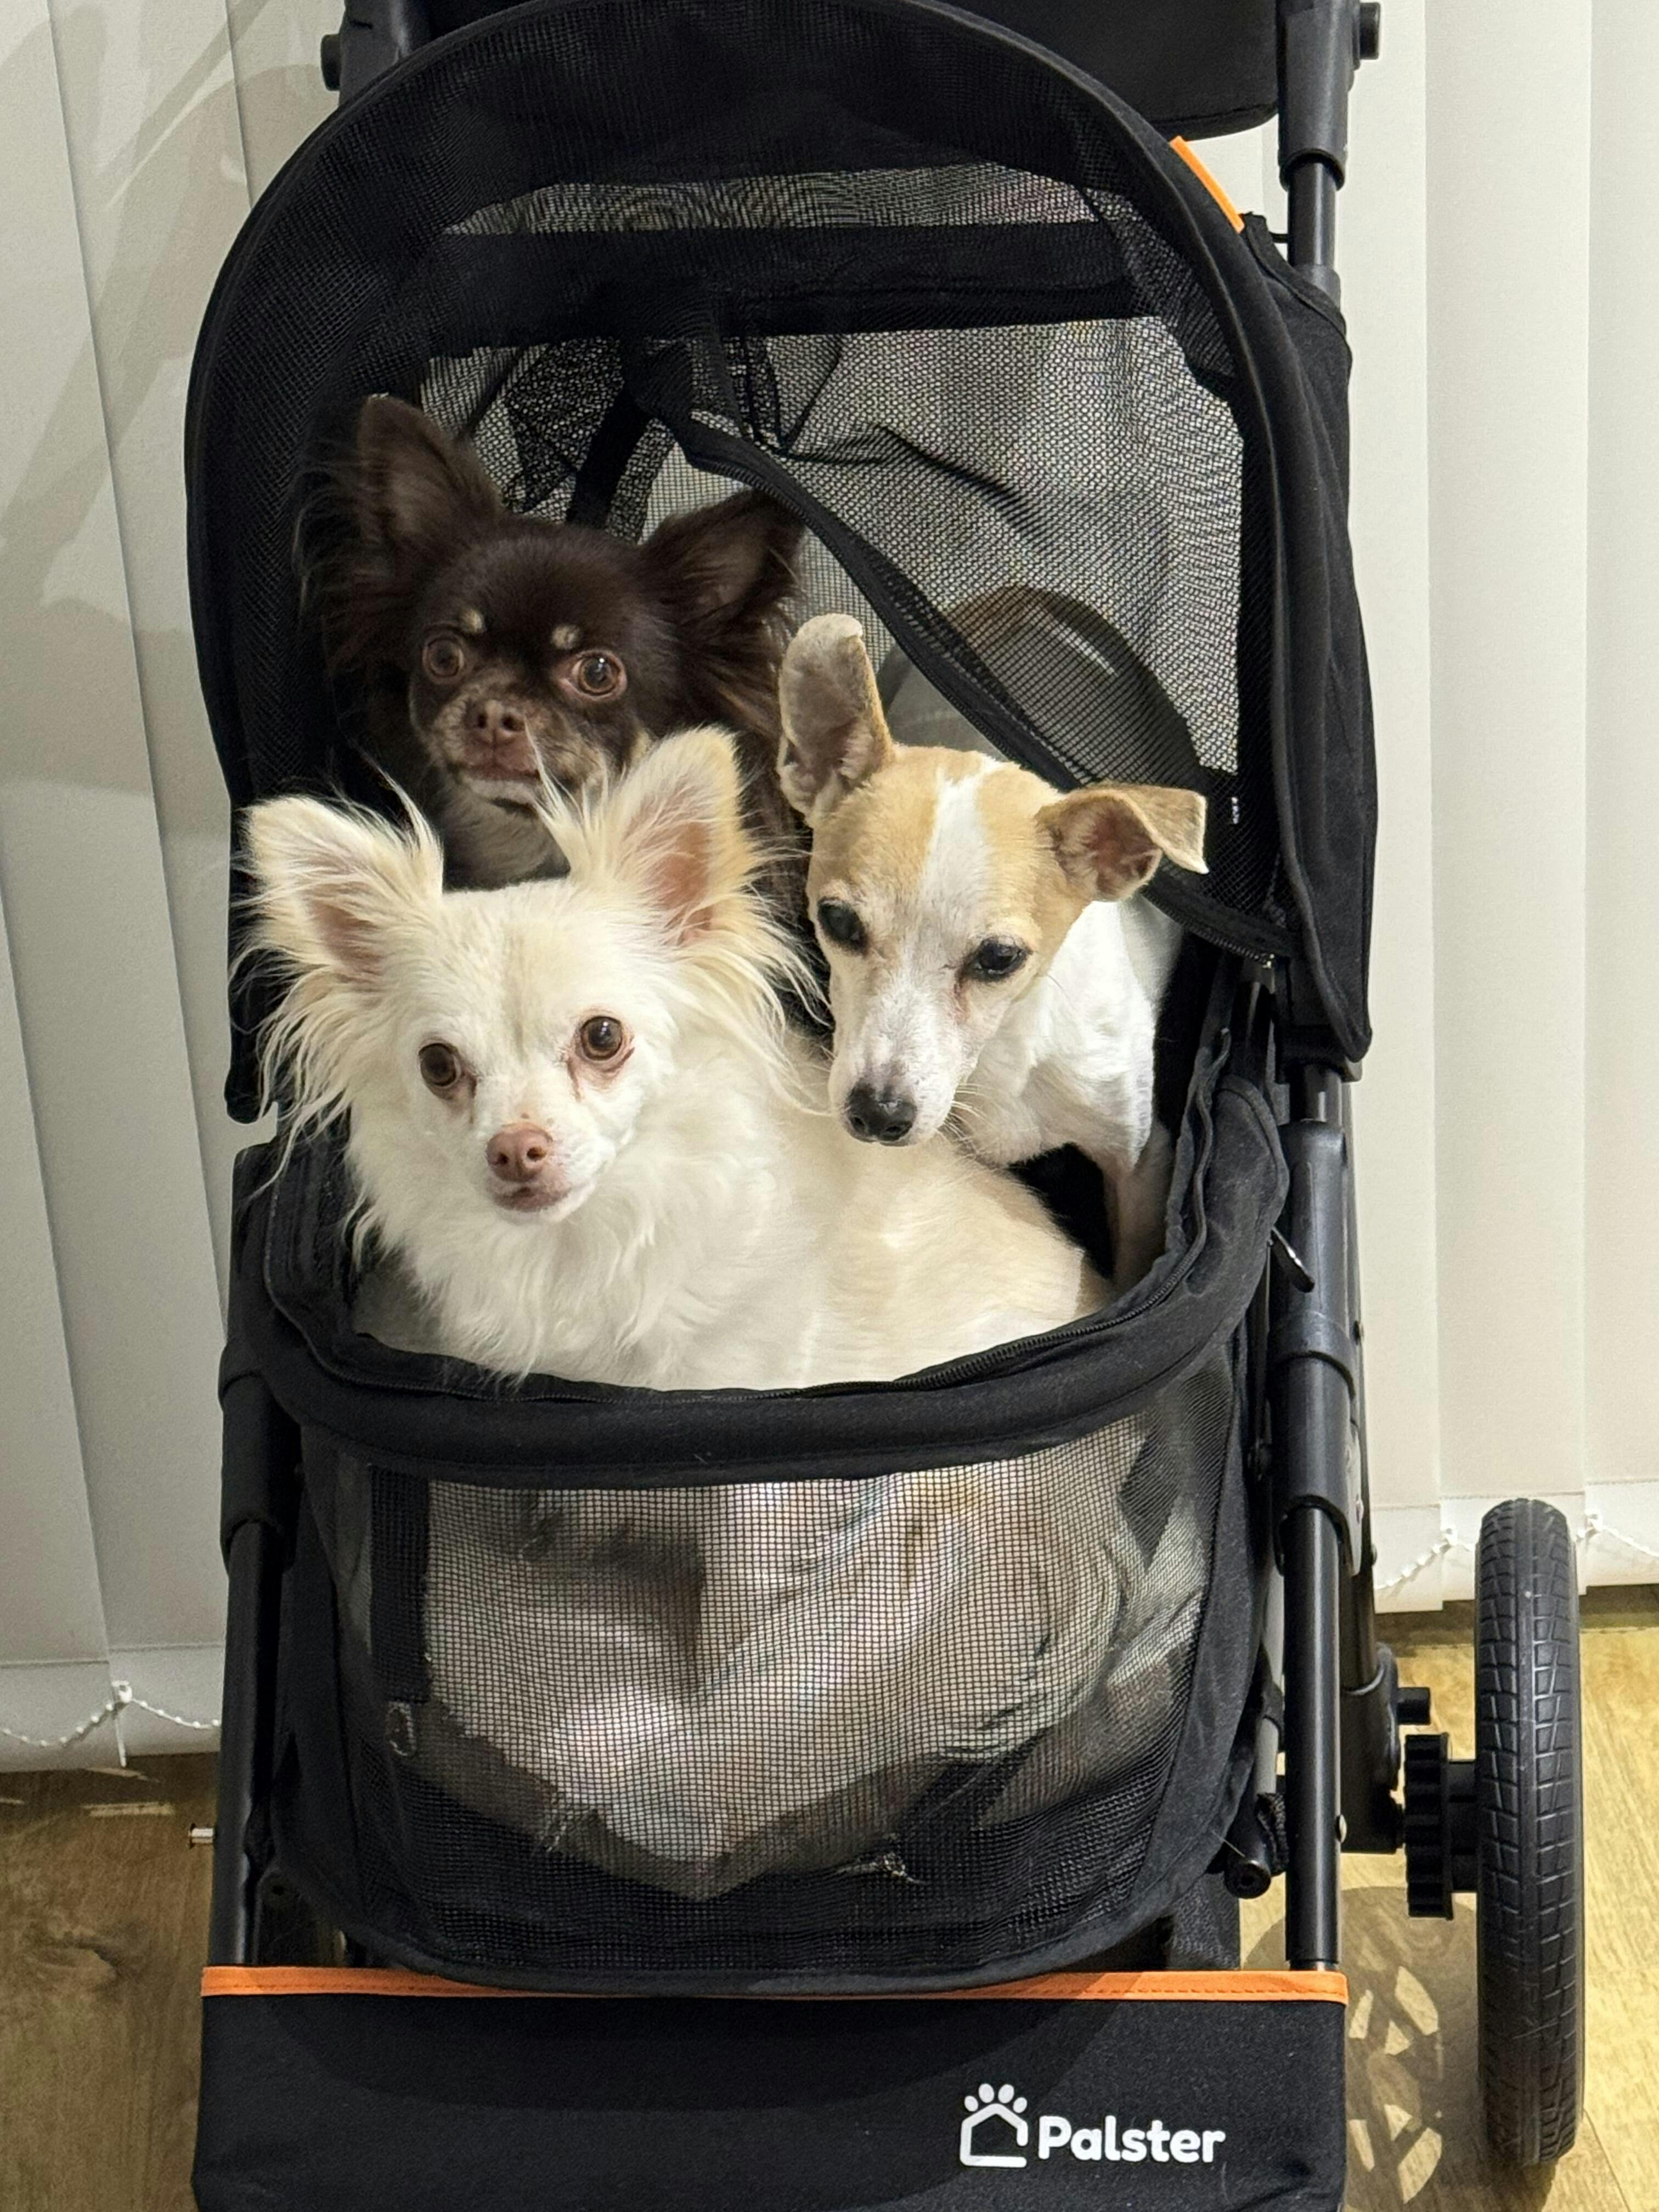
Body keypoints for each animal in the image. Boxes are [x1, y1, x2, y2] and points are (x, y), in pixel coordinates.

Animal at [777, 613, 1209, 1290]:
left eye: (1000, 959)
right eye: (838, 922)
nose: (877, 1113)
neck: (1008, 1050)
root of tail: (1035, 601)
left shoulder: (1141, 1161)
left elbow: (1133, 1269)